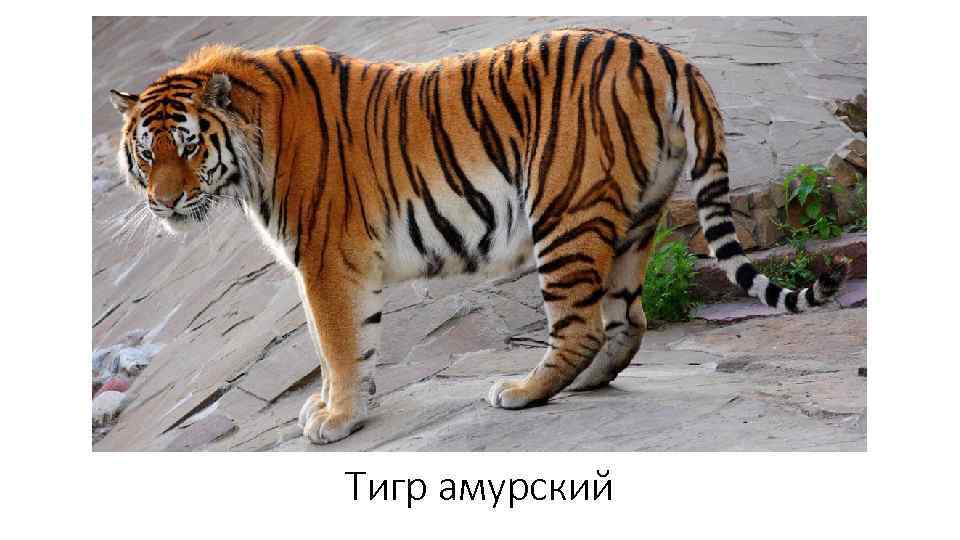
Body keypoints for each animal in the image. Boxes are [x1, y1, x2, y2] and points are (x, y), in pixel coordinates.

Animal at [109, 27, 849, 445]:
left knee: (579, 327)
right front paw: (348, 408)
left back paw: (522, 391)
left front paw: (336, 419)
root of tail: (668, 57)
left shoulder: (325, 261)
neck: (249, 152)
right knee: (626, 322)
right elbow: (350, 345)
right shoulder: (339, 266)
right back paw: (583, 385)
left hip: (564, 213)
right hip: (635, 219)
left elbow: (337, 344)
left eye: (187, 147)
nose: (163, 202)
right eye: (147, 152)